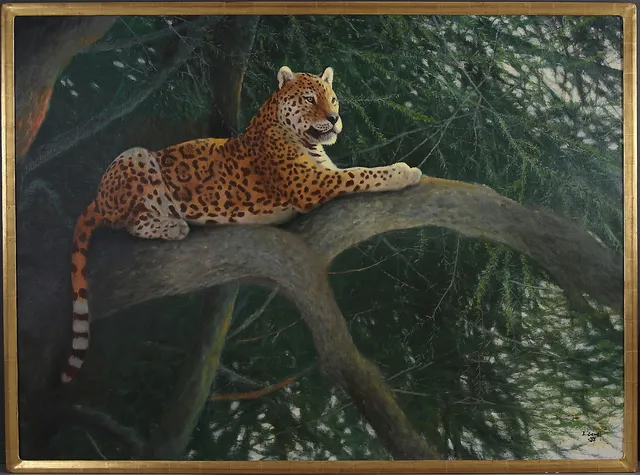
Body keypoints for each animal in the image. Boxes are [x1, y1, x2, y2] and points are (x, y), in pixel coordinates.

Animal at [61, 65, 423, 383]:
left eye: (333, 99)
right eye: (310, 98)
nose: (334, 119)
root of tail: (98, 197)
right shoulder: (312, 184)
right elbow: (360, 173)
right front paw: (402, 171)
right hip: (136, 156)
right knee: (133, 221)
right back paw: (175, 225)